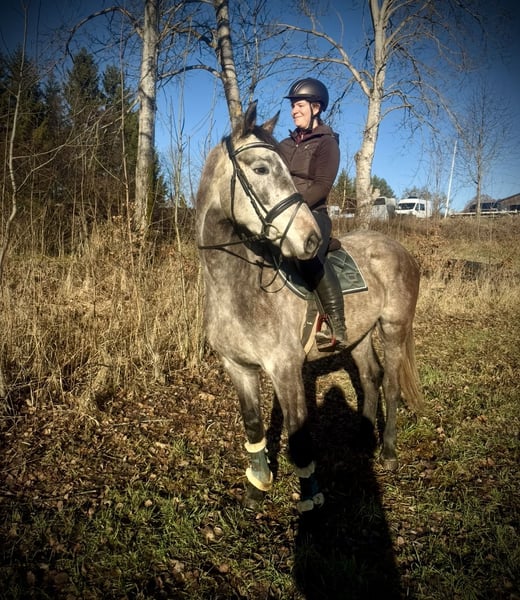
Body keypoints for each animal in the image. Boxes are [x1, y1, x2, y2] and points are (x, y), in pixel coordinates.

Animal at [196, 102, 423, 512]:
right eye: (261, 169)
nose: (311, 239)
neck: (238, 286)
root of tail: (401, 251)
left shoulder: (285, 370)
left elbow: (299, 437)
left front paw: (310, 495)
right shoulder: (238, 368)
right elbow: (253, 425)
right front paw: (257, 487)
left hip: (393, 328)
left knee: (392, 384)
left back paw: (388, 452)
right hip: (358, 335)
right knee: (371, 377)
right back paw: (362, 439)